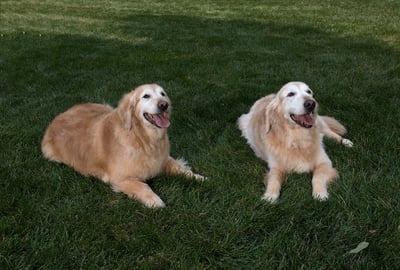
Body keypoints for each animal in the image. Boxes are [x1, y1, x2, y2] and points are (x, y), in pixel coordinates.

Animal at [42, 83, 205, 208]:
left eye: (163, 94)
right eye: (146, 96)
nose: (164, 105)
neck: (143, 138)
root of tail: (57, 118)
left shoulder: (163, 160)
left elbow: (181, 169)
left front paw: (198, 177)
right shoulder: (121, 178)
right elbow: (142, 186)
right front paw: (155, 200)